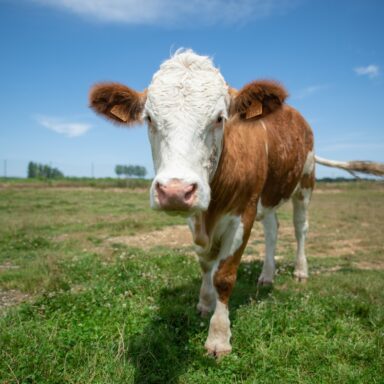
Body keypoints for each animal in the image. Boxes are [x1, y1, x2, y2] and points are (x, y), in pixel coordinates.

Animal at [89, 50, 380, 356]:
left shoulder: (244, 213)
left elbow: (224, 275)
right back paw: (267, 276)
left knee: (300, 227)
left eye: (220, 118)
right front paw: (205, 301)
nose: (175, 191)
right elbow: (206, 263)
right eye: (149, 118)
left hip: (305, 182)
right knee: (273, 230)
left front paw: (218, 337)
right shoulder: (195, 218)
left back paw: (301, 271)